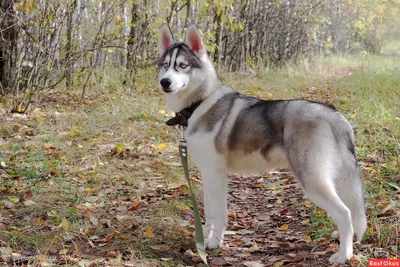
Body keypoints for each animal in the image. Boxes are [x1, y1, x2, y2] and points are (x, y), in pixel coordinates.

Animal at [158, 24, 368, 264]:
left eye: (182, 66)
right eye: (165, 65)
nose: (165, 82)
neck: (199, 103)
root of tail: (332, 113)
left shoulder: (216, 174)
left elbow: (218, 214)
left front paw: (213, 244)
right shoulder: (207, 174)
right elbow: (209, 214)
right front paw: (206, 241)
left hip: (312, 180)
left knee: (345, 213)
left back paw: (344, 255)